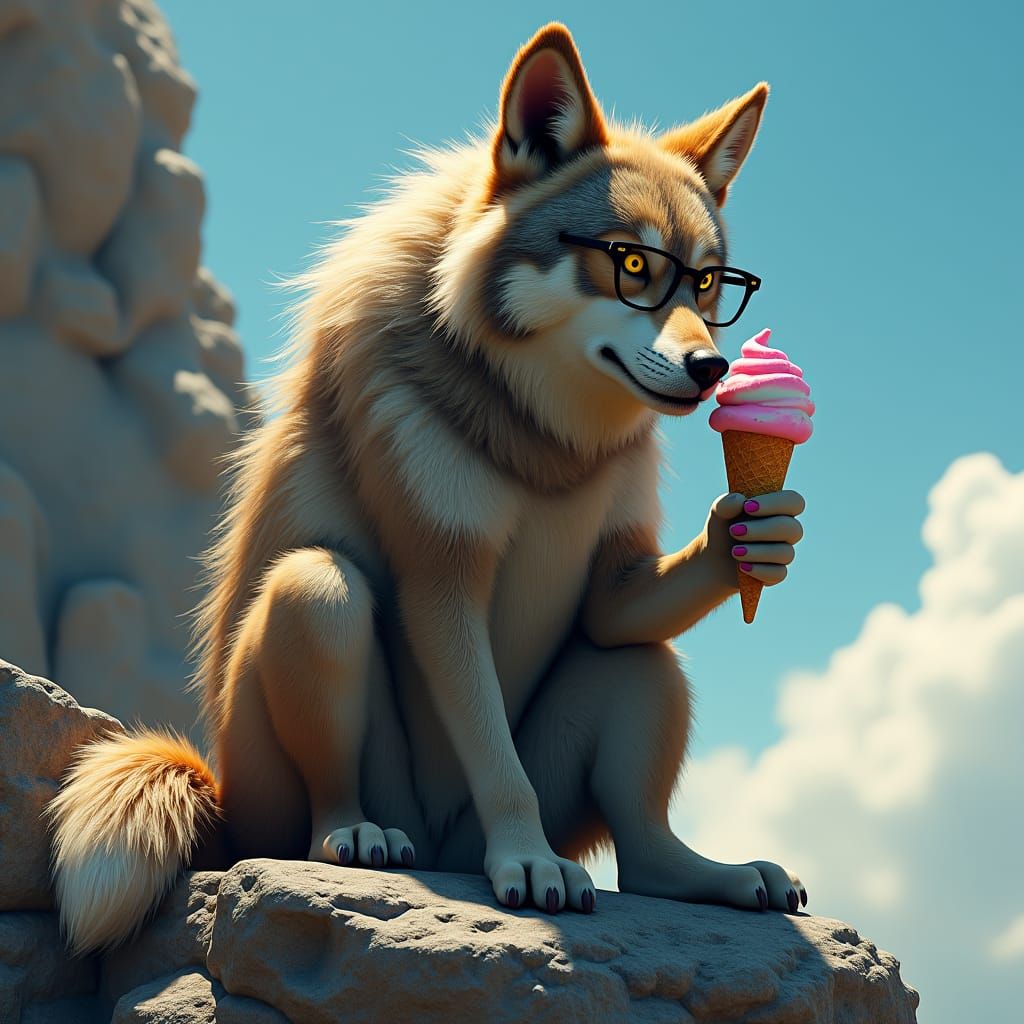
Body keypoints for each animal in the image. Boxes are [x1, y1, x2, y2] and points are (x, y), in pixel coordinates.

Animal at [48, 22, 808, 953]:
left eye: (706, 283)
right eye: (631, 264)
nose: (711, 369)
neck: (543, 438)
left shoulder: (616, 568)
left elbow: (612, 608)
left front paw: (756, 535)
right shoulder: (441, 576)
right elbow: (488, 741)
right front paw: (529, 862)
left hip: (603, 729)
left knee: (640, 717)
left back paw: (709, 876)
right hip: (306, 665)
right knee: (323, 641)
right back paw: (353, 833)